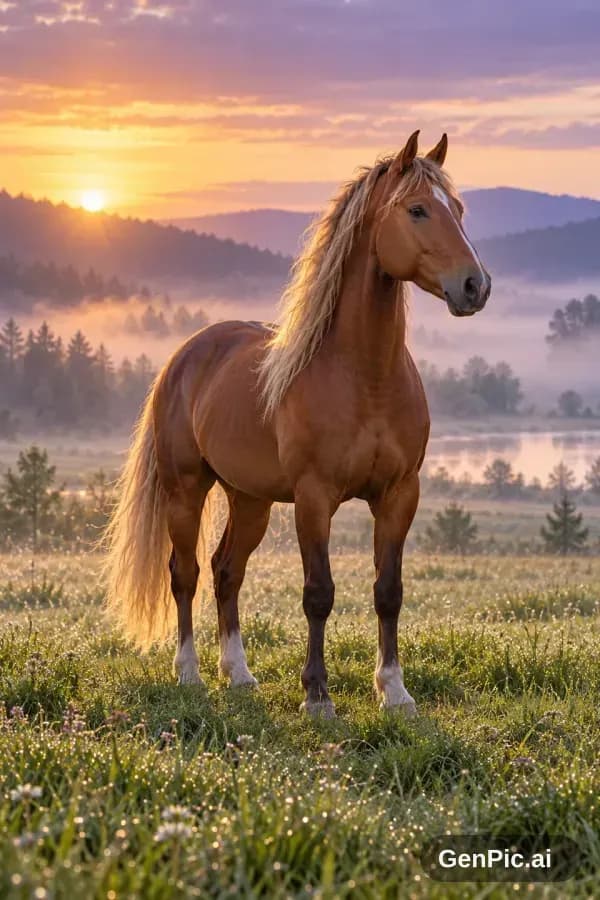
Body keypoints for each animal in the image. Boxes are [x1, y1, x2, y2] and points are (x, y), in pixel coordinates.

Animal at [106, 130, 491, 718]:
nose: (475, 286)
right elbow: (318, 593)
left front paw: (395, 691)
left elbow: (388, 591)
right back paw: (190, 673)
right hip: (186, 490)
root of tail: (188, 354)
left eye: (461, 210)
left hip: (251, 499)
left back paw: (239, 674)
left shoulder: (400, 494)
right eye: (418, 209)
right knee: (185, 573)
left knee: (226, 571)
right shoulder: (314, 497)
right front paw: (317, 696)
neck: (364, 376)